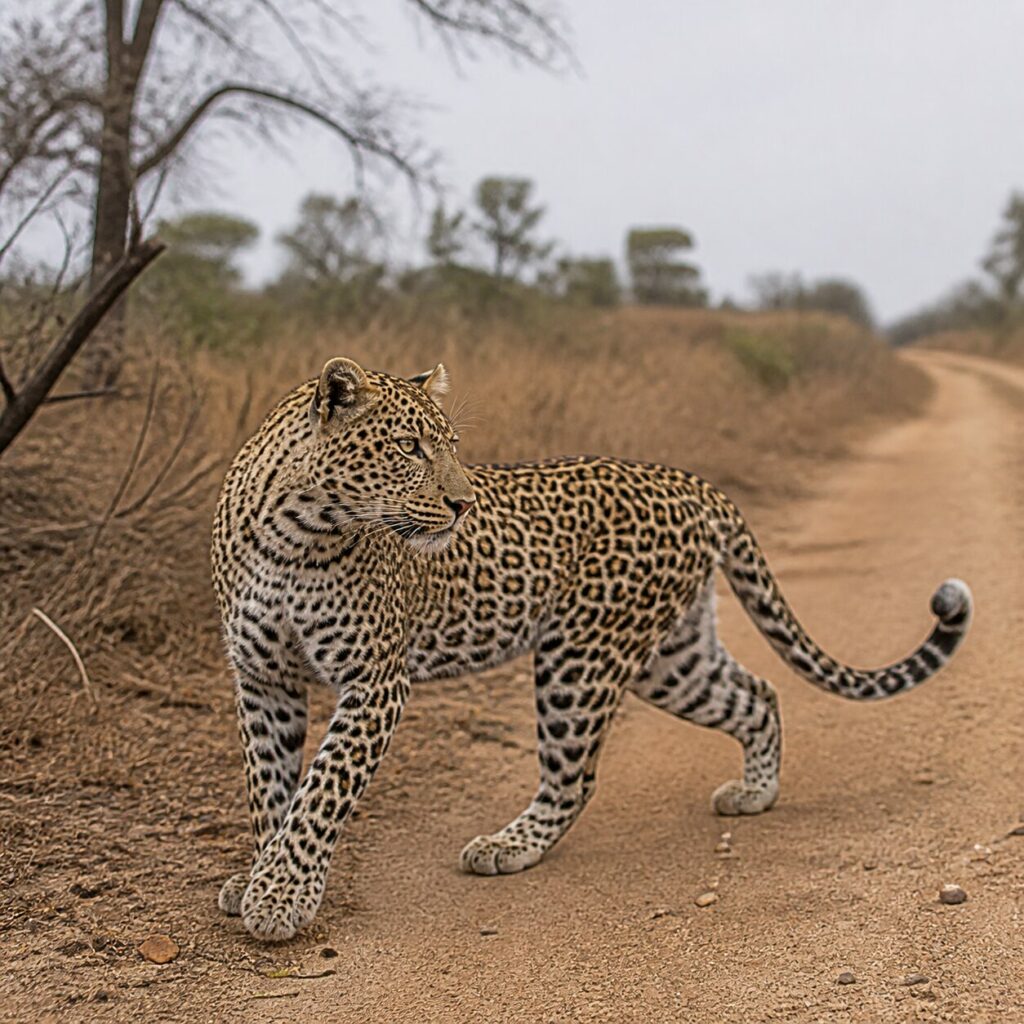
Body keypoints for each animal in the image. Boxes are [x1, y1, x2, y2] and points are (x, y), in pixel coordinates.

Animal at [211, 356, 973, 941]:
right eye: (409, 448)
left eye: (450, 443)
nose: (463, 504)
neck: (292, 532)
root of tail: (688, 481)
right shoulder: (262, 679)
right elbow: (269, 786)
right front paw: (258, 876)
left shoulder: (373, 681)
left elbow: (322, 789)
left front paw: (280, 899)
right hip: (671, 658)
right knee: (757, 693)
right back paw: (755, 793)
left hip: (582, 656)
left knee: (573, 777)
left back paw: (506, 846)